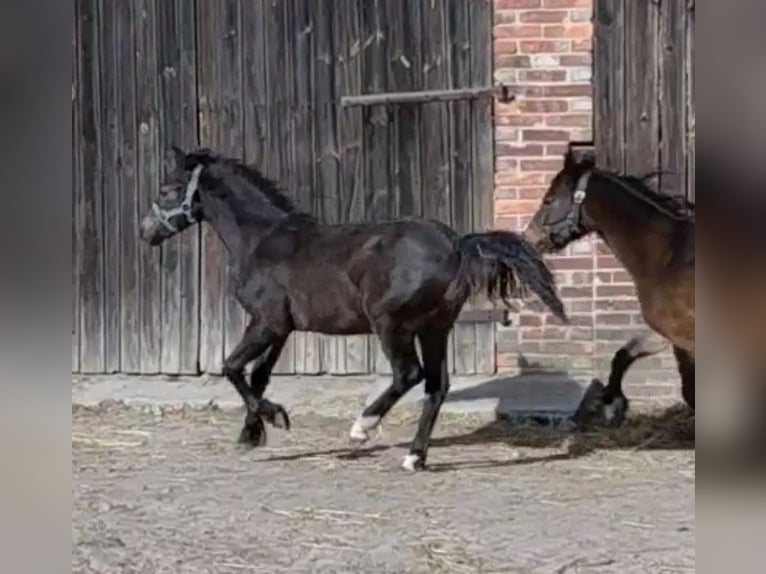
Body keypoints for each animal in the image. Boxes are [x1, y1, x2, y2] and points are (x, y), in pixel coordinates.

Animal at [141, 147, 568, 472]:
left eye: (168, 188)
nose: (146, 232)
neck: (262, 240)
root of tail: (456, 243)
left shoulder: (266, 322)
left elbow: (231, 367)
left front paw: (275, 418)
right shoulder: (281, 328)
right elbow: (258, 375)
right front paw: (251, 433)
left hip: (390, 324)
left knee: (408, 375)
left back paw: (363, 426)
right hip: (435, 328)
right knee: (437, 386)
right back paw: (414, 458)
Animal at [528, 151, 696, 426]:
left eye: (549, 199)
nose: (529, 238)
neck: (669, 255)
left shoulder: (686, 338)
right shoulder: (666, 332)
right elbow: (622, 355)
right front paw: (611, 402)